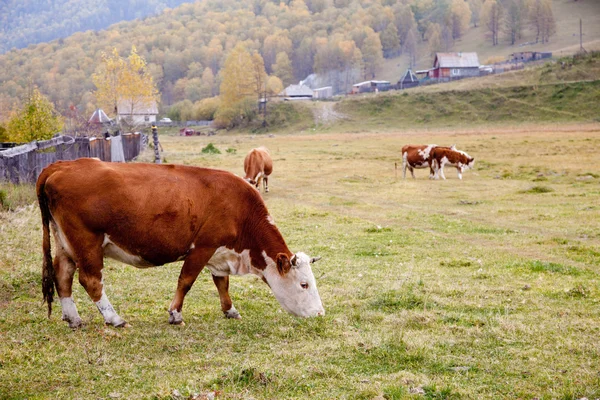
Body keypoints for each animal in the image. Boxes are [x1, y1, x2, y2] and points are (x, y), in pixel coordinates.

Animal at [35, 158, 326, 330]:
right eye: (304, 284)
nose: (320, 313)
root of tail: (61, 165)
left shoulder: (219, 254)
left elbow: (222, 283)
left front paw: (230, 310)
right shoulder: (202, 248)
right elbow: (185, 281)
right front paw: (175, 314)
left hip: (65, 244)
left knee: (63, 277)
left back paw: (73, 318)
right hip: (87, 242)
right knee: (91, 280)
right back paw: (114, 318)